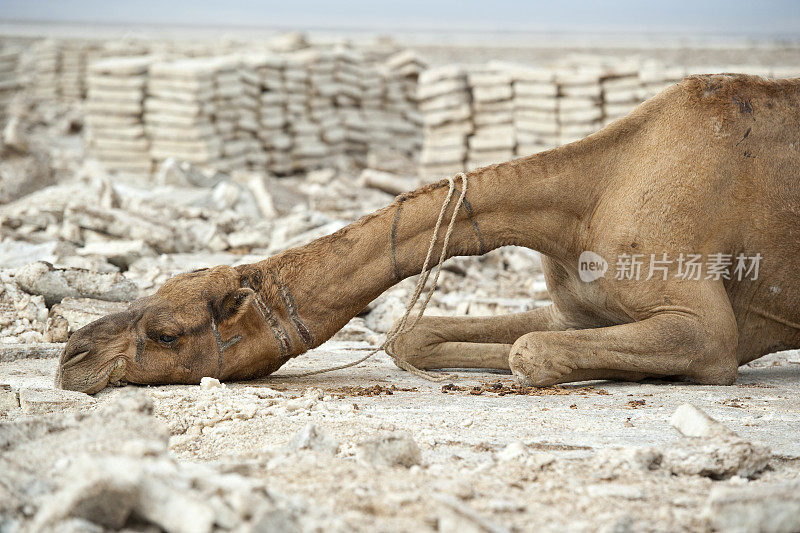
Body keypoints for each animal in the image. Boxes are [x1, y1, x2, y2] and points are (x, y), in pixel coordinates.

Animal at [56, 72, 800, 392]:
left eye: (166, 334)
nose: (72, 357)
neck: (590, 195)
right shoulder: (577, 306)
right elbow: (411, 336)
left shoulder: (707, 328)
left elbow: (531, 350)